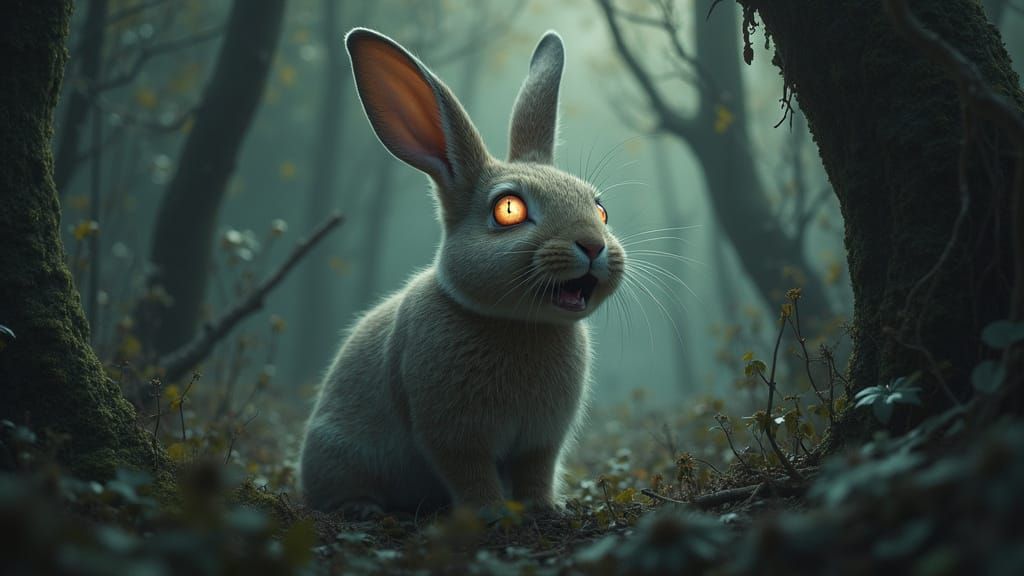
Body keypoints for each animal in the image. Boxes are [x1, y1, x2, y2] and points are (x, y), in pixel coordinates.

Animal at [298, 27, 626, 516]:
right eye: (508, 210)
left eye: (600, 209)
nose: (592, 244)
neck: (518, 323)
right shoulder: (453, 435)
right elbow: (469, 473)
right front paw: (490, 513)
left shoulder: (541, 440)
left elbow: (536, 471)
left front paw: (544, 508)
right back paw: (362, 507)